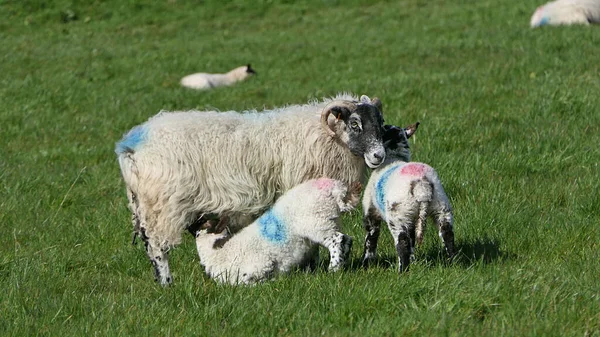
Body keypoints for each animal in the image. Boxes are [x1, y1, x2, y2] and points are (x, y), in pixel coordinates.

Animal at [196, 177, 360, 284]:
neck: (217, 252)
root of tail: (335, 188)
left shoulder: (257, 267)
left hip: (318, 223)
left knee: (339, 241)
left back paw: (333, 270)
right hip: (330, 221)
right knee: (346, 240)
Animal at [360, 122, 454, 272]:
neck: (393, 157)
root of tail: (422, 185)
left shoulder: (371, 212)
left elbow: (371, 238)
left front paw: (366, 263)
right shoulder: (412, 219)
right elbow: (412, 239)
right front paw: (413, 260)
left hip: (398, 215)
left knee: (402, 242)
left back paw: (402, 271)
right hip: (440, 207)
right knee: (447, 233)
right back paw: (453, 262)